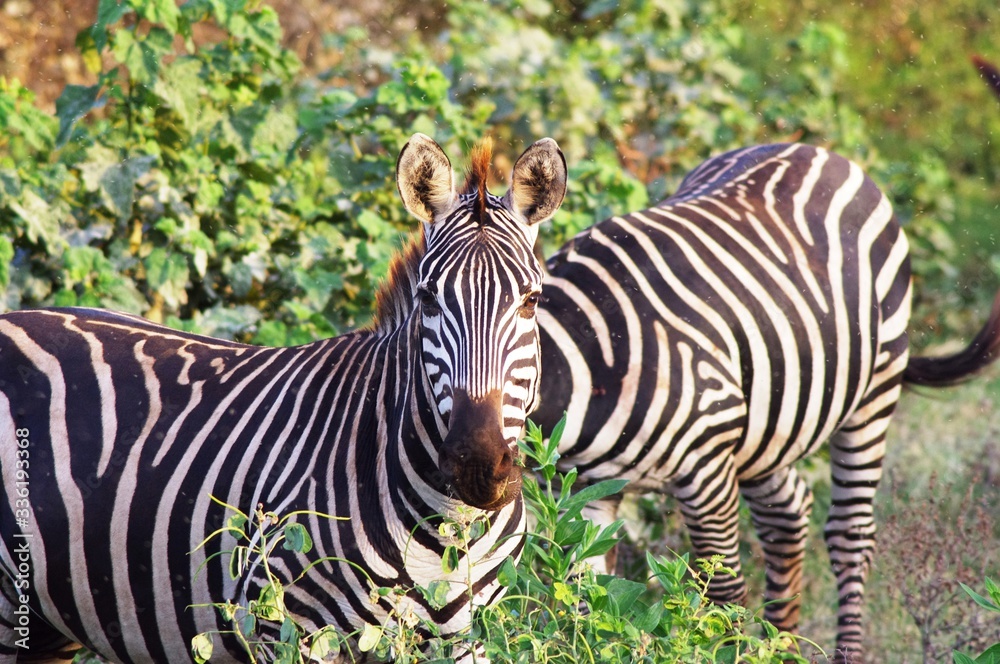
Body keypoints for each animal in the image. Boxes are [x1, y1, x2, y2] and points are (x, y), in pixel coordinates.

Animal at [0, 133, 567, 662]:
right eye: (428, 298)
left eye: (532, 300)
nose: (478, 466)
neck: (448, 532)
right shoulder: (285, 628)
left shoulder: (469, 639)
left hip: (47, 622)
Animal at [531, 142, 1000, 662]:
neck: (588, 357)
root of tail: (810, 149)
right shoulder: (577, 486)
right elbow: (582, 599)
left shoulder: (706, 471)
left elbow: (721, 597)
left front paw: (723, 649)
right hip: (768, 423)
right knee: (786, 514)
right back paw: (782, 645)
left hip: (873, 390)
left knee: (850, 534)